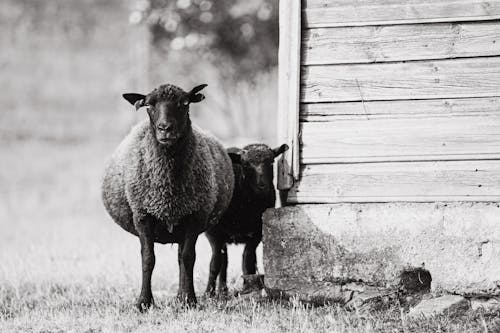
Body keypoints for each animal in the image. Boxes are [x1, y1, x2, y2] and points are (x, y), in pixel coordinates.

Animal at [102, 83, 235, 308]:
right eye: (149, 105)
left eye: (185, 103)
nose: (165, 128)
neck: (168, 190)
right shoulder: (143, 215)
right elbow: (148, 259)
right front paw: (144, 302)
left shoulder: (195, 216)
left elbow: (189, 258)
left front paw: (189, 300)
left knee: (182, 257)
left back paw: (181, 297)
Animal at [204, 141, 290, 294]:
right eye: (245, 165)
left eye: (271, 162)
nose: (262, 186)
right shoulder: (213, 233)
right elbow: (215, 263)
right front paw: (208, 293)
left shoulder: (257, 233)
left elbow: (248, 260)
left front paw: (248, 288)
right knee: (223, 261)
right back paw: (222, 290)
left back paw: (224, 290)